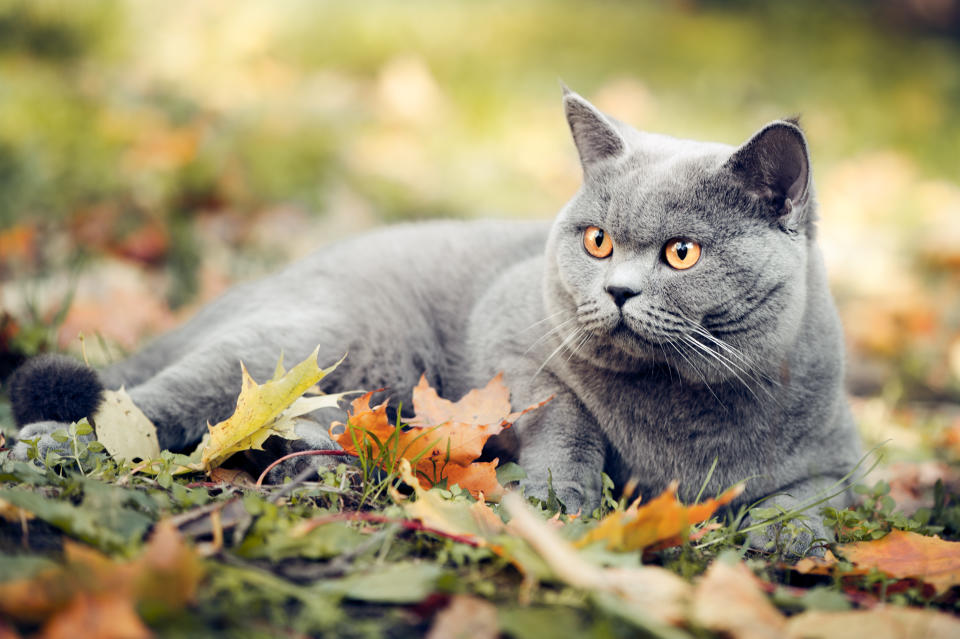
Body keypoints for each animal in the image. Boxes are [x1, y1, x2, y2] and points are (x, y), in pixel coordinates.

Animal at [5, 87, 864, 552]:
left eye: (682, 253)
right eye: (597, 240)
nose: (617, 291)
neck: (682, 413)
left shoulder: (846, 461)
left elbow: (816, 496)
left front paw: (787, 533)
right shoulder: (512, 335)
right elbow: (563, 410)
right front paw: (562, 495)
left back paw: (313, 465)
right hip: (312, 336)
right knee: (143, 406)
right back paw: (49, 444)